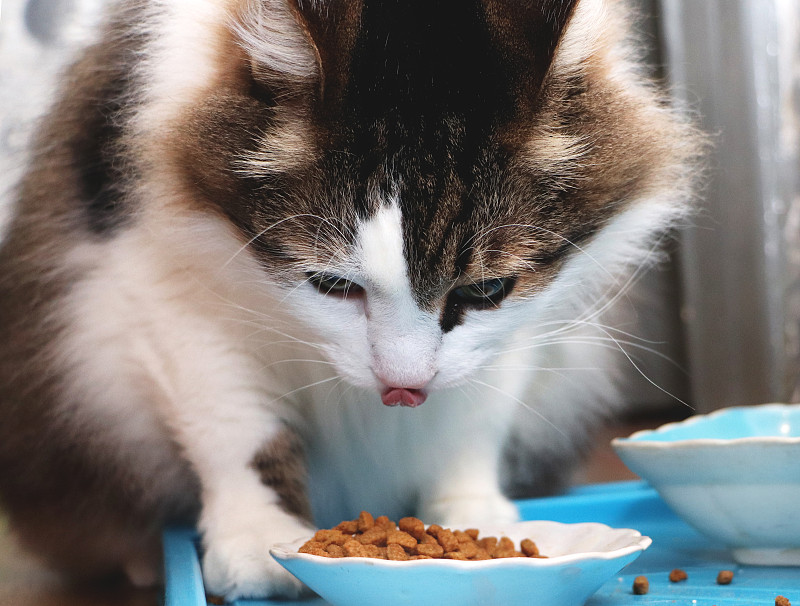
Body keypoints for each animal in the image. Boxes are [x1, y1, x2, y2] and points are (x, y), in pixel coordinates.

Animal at [0, 0, 700, 600]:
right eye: (334, 286)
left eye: (484, 290)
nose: (404, 388)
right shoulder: (159, 284)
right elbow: (238, 433)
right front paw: (258, 542)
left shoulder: (522, 325)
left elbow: (471, 423)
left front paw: (472, 520)